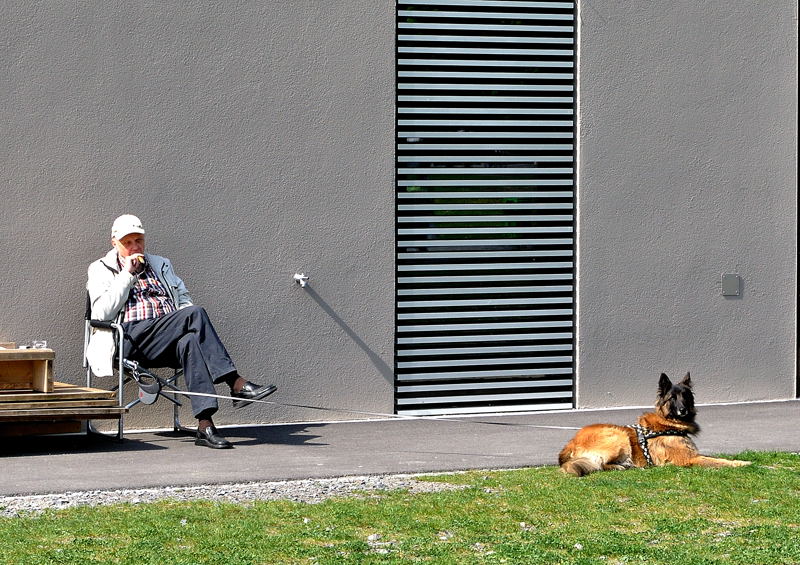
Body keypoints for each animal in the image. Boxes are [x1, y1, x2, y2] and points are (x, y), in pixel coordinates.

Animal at [556, 374, 752, 476]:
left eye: (686, 396)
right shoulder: (690, 459)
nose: (683, 410)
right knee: (599, 464)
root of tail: (570, 443)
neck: (669, 423)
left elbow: (715, 458)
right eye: (672, 398)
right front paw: (742, 463)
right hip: (618, 436)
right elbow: (719, 461)